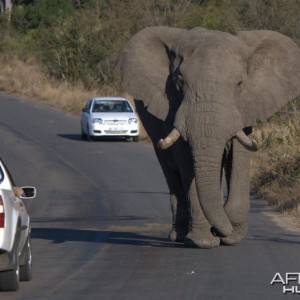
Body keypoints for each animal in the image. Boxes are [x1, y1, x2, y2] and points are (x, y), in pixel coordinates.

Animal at [118, 26, 300, 248]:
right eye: (179, 83)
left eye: (239, 84)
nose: (220, 232)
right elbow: (187, 163)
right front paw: (203, 241)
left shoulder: (244, 108)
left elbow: (239, 158)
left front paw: (231, 235)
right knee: (171, 170)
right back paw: (179, 235)